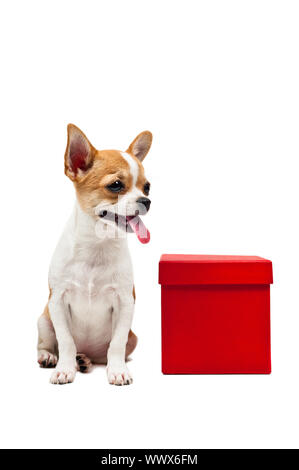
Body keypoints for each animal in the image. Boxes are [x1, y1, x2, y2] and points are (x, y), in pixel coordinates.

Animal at [37, 125, 152, 386]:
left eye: (147, 186)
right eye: (116, 185)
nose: (146, 201)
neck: (97, 245)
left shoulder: (125, 302)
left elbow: (116, 344)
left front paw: (118, 371)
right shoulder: (57, 302)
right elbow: (66, 341)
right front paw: (64, 369)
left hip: (133, 338)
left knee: (103, 353)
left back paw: (85, 361)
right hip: (44, 319)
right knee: (51, 344)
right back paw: (52, 357)